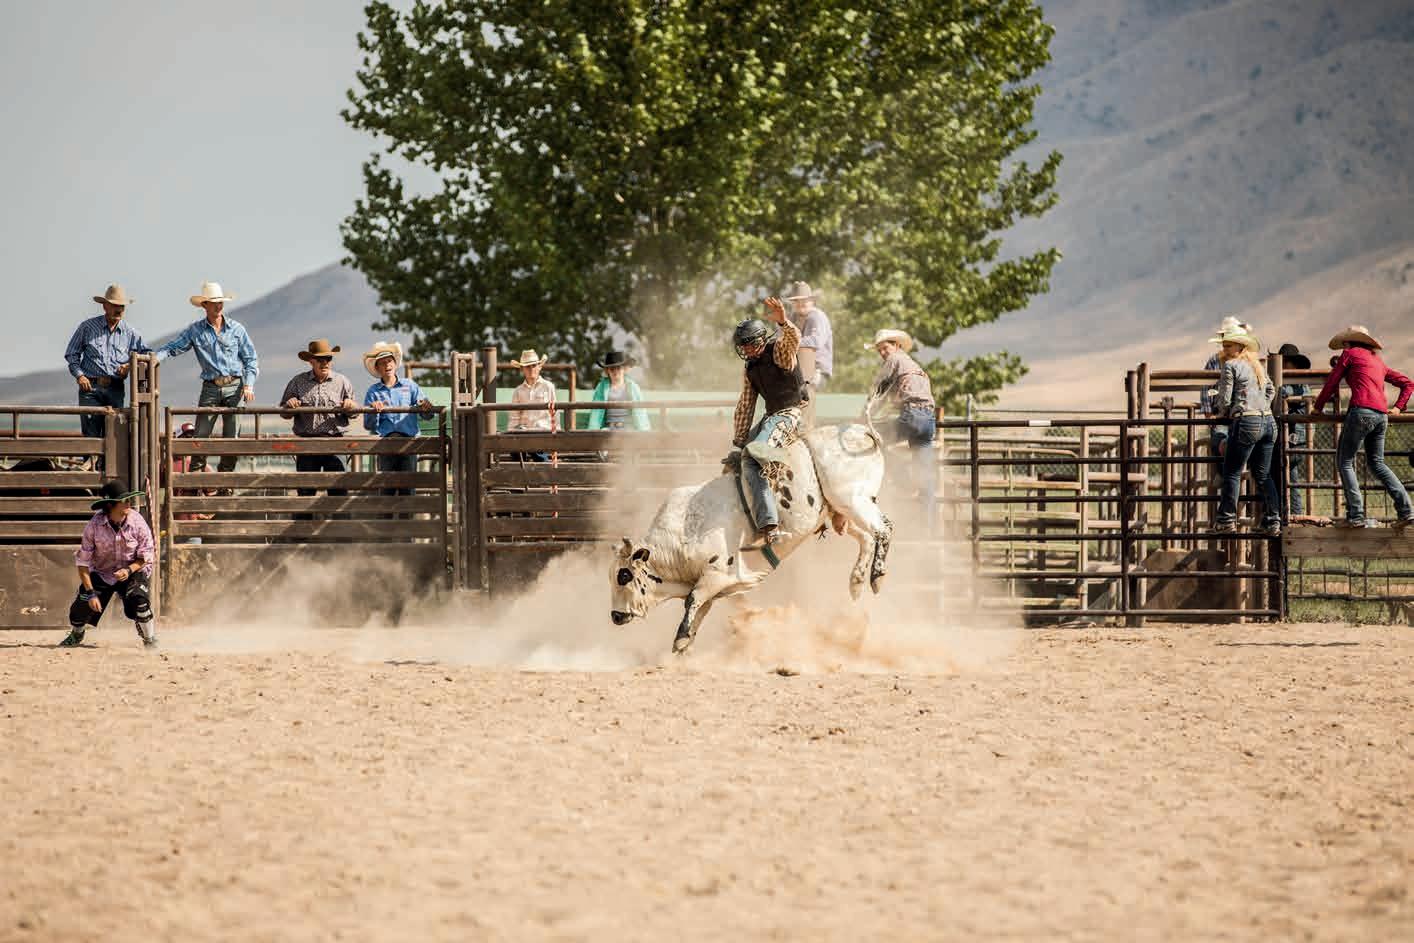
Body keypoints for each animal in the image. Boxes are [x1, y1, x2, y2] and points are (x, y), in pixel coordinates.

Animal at [609, 422, 891, 653]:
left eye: (624, 575)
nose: (615, 616)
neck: (681, 538)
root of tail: (861, 431)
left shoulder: (716, 574)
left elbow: (693, 601)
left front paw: (680, 637)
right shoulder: (716, 584)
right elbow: (701, 608)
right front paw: (684, 643)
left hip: (853, 500)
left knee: (884, 528)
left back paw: (876, 577)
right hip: (840, 511)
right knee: (867, 538)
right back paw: (856, 582)